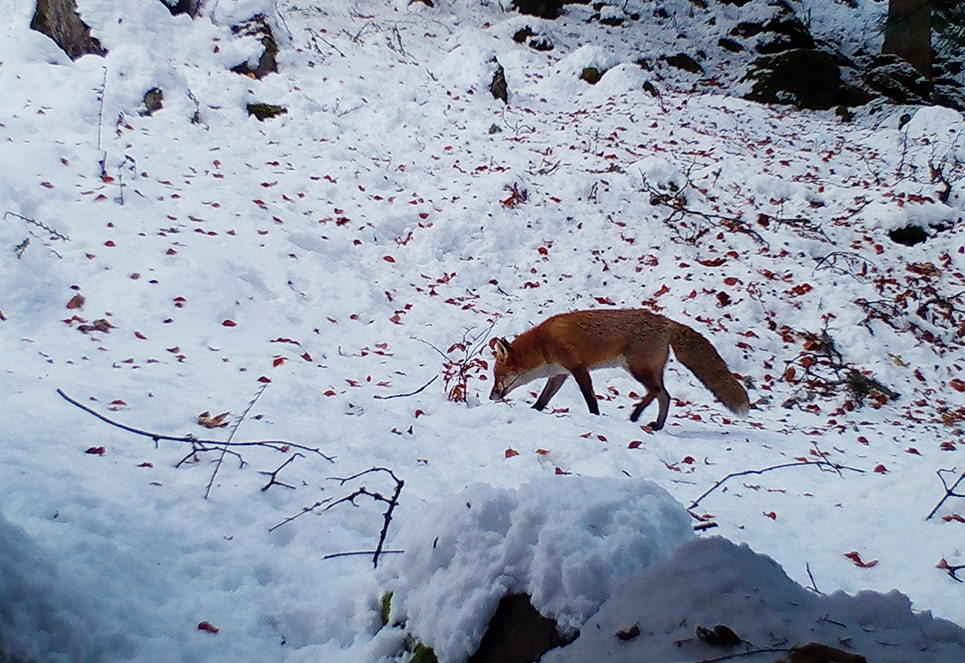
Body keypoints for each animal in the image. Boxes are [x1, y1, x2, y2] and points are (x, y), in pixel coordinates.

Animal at [486, 310, 748, 430]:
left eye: (498, 376)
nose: (490, 397)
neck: (542, 344)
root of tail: (666, 321)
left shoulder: (577, 367)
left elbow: (590, 399)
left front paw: (595, 417)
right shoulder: (560, 373)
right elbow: (543, 399)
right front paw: (534, 411)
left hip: (637, 369)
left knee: (656, 392)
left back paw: (635, 415)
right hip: (650, 371)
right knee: (665, 396)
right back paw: (657, 425)